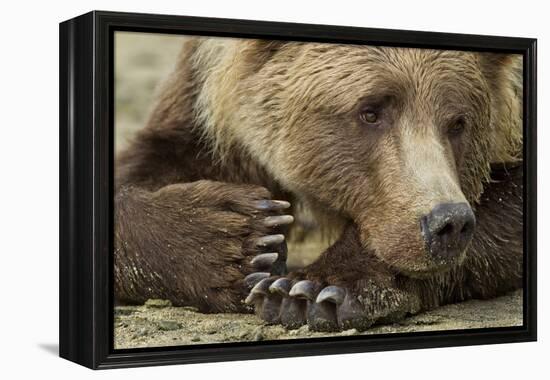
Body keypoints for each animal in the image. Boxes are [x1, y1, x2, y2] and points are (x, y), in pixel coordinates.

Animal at [114, 37, 524, 332]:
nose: (448, 223)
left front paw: (311, 290)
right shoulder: (201, 102)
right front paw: (240, 237)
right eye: (370, 111)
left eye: (458, 122)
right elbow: (148, 164)